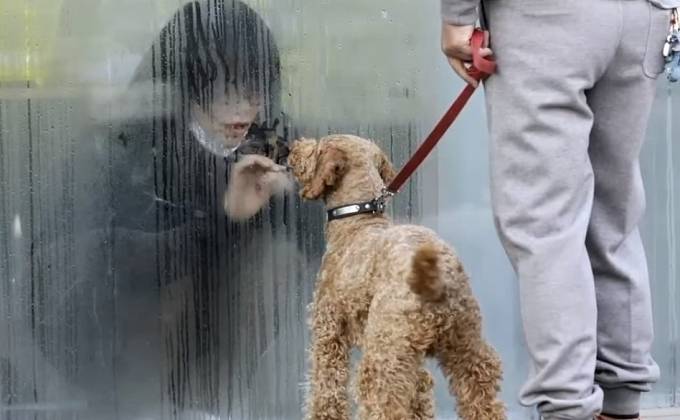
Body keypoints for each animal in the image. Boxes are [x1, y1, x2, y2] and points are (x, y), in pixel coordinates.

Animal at [286, 135, 504, 420]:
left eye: (318, 147)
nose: (291, 149)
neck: (357, 222)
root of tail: (434, 279)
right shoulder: (411, 359)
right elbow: (421, 393)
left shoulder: (329, 330)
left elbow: (326, 388)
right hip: (463, 345)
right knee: (483, 397)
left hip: (383, 356)